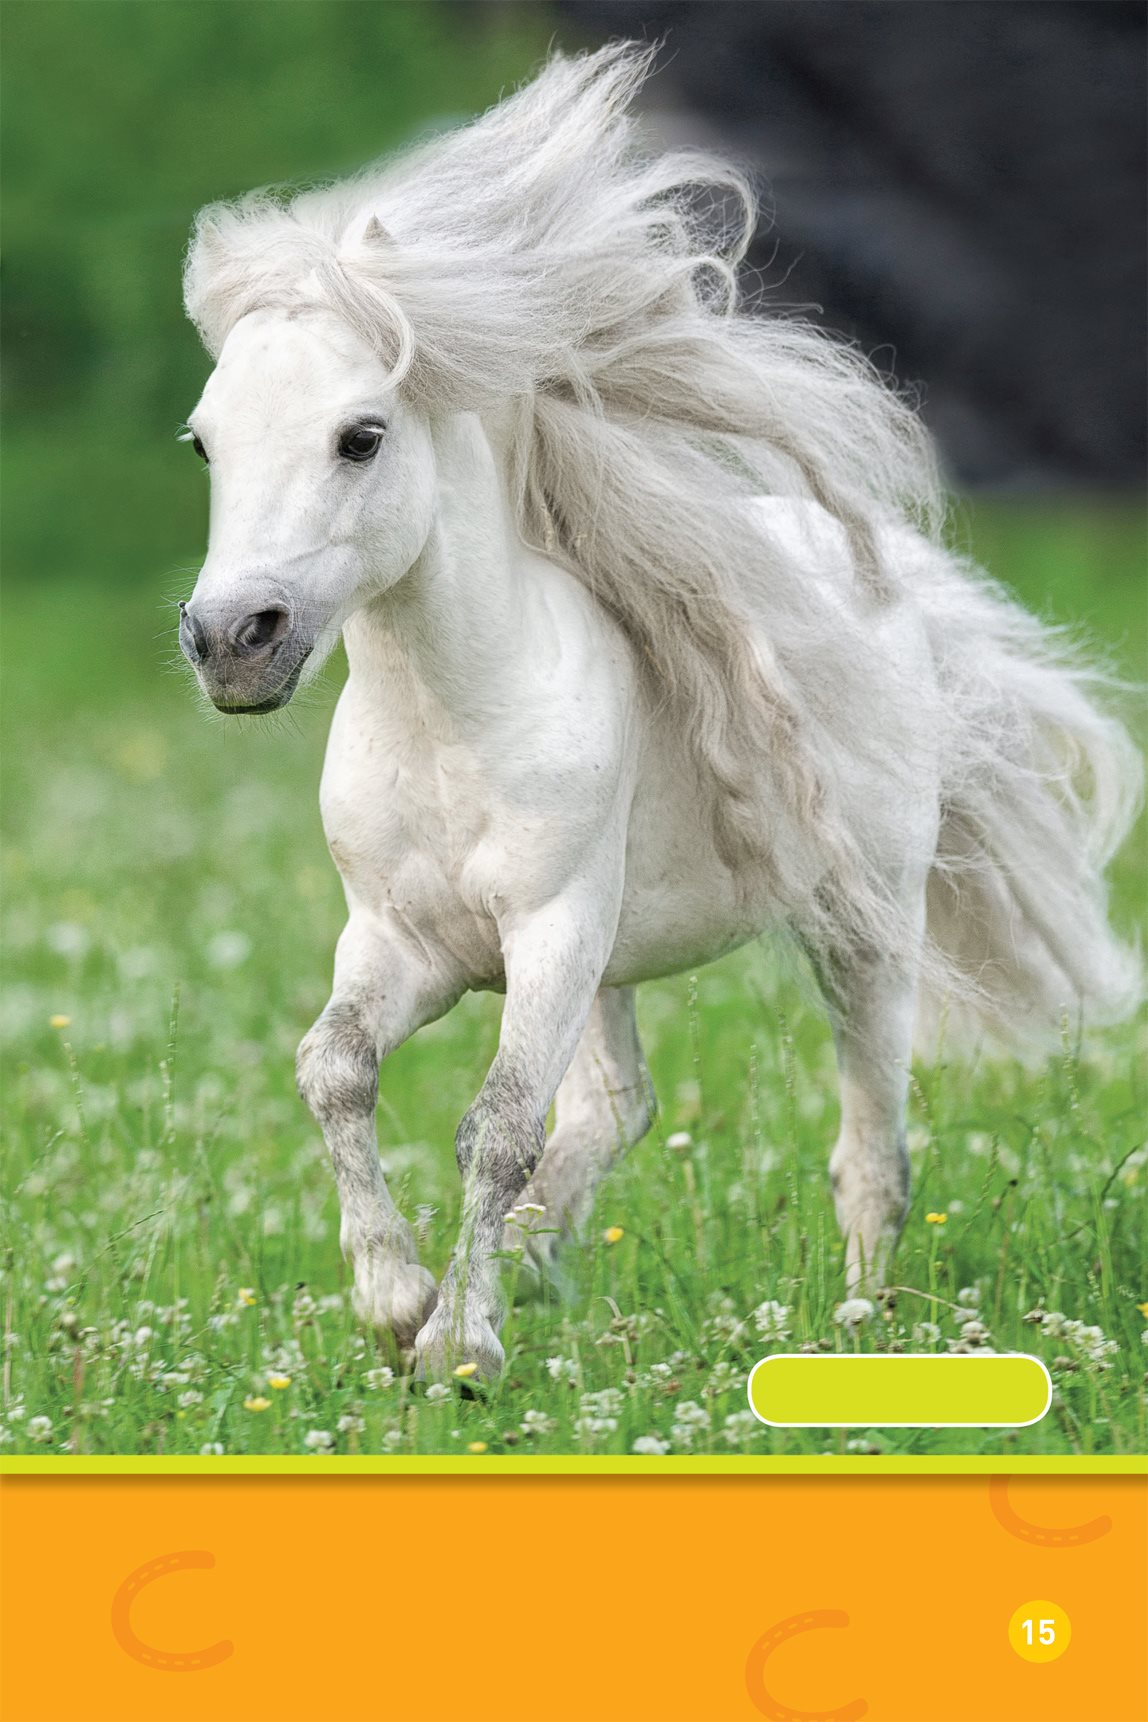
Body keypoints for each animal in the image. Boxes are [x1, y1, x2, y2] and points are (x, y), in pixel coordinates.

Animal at [179, 47, 1142, 1377]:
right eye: (205, 443)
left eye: (360, 437)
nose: (232, 642)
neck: (451, 728)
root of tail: (890, 585)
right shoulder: (398, 941)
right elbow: (334, 1070)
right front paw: (397, 1302)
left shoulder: (548, 934)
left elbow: (495, 1125)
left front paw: (456, 1348)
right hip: (618, 963)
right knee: (620, 1105)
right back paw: (536, 1269)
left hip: (859, 929)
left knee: (869, 1144)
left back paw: (853, 1323)